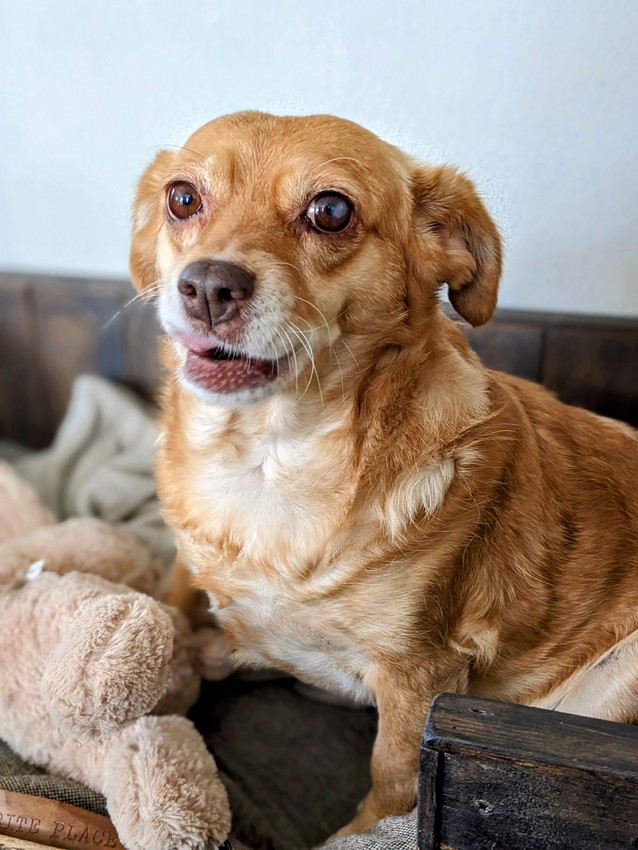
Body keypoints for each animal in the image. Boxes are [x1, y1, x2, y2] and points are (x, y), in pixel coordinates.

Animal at [130, 111, 638, 836]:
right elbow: (167, 607)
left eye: (331, 211)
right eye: (182, 198)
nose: (206, 287)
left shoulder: (417, 679)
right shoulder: (186, 568)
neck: (268, 464)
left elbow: (391, 789)